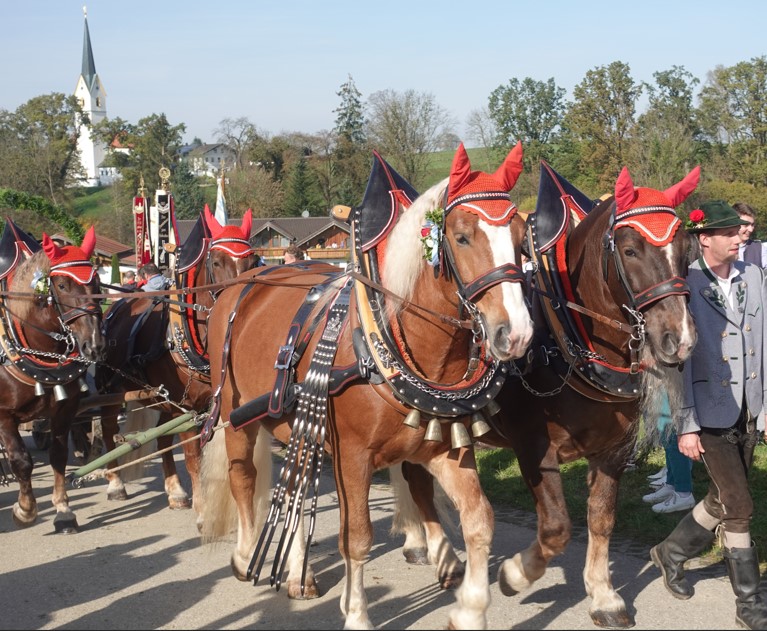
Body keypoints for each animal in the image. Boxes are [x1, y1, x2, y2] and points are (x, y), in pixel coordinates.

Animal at [0, 221, 106, 532]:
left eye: (97, 282)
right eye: (61, 285)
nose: (94, 344)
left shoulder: (65, 408)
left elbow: (58, 454)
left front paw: (63, 509)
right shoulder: (3, 414)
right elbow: (21, 461)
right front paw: (24, 509)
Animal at [92, 210, 258, 516]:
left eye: (253, 261)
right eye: (216, 261)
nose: (238, 303)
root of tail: (117, 306)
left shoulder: (209, 405)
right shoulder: (190, 408)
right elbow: (193, 456)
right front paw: (203, 507)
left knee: (163, 439)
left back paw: (176, 491)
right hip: (111, 389)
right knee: (109, 429)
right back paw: (115, 483)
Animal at [198, 143, 536, 631]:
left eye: (520, 233)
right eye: (462, 237)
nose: (518, 334)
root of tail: (243, 284)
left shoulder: (445, 451)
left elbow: (479, 520)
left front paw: (470, 609)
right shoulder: (353, 457)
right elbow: (356, 536)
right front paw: (357, 614)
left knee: (296, 487)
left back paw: (298, 573)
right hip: (235, 414)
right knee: (243, 478)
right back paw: (245, 557)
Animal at [390, 160, 704, 628]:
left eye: (686, 249)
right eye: (630, 250)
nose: (679, 340)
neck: (564, 340)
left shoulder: (612, 450)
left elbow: (601, 519)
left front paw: (604, 595)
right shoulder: (534, 446)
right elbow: (556, 528)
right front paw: (514, 575)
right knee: (417, 481)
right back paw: (439, 553)